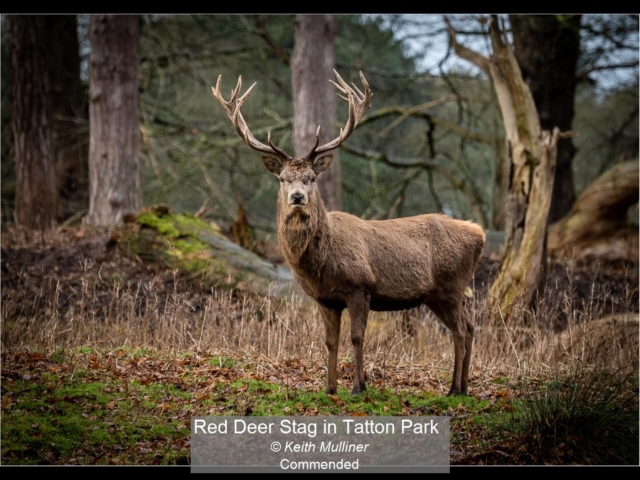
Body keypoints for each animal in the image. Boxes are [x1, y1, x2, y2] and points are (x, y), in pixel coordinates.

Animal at [212, 70, 485, 396]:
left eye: (311, 178)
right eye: (282, 178)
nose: (297, 197)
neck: (321, 262)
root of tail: (479, 234)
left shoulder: (360, 286)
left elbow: (356, 338)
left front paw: (359, 387)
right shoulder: (324, 299)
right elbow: (330, 341)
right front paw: (329, 388)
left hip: (451, 286)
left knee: (460, 331)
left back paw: (454, 389)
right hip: (439, 294)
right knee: (470, 328)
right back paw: (465, 387)